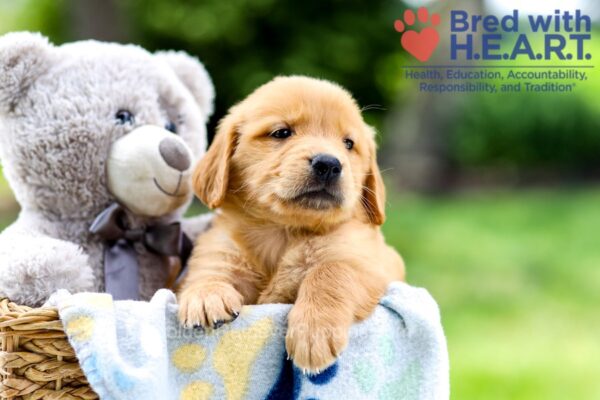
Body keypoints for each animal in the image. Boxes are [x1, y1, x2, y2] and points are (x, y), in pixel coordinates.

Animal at [176, 76, 406, 372]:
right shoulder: (219, 249)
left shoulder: (373, 261)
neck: (283, 232)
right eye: (282, 133)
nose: (329, 164)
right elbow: (210, 270)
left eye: (348, 143)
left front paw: (314, 331)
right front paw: (206, 295)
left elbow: (333, 270)